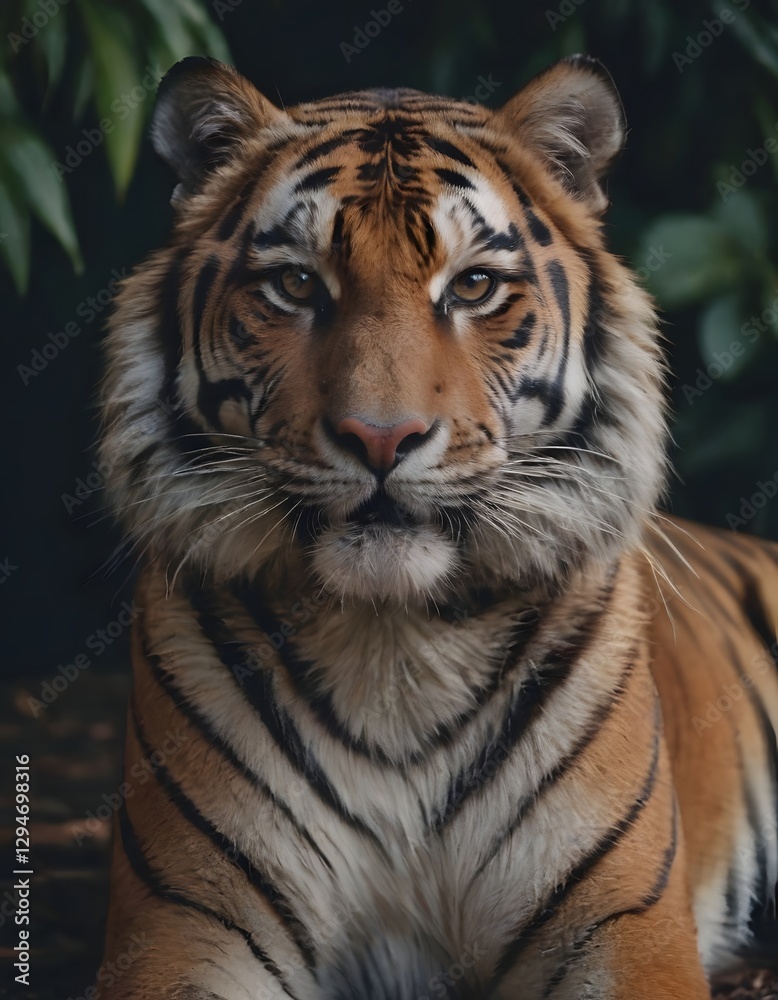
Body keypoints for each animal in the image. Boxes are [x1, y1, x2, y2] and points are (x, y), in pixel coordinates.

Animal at [97, 53, 778, 999]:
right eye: (296, 284)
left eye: (474, 286)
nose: (381, 437)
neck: (394, 647)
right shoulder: (184, 927)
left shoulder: (624, 928)